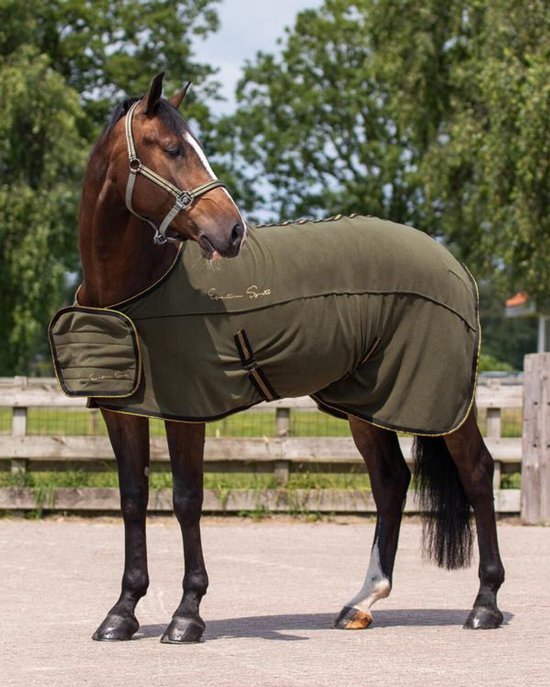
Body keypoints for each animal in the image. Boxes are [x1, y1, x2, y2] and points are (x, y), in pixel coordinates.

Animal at [65, 73, 504, 643]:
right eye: (173, 148)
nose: (232, 231)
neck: (141, 286)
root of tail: (455, 265)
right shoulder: (123, 410)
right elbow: (133, 498)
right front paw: (122, 611)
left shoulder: (187, 410)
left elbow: (186, 499)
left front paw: (187, 614)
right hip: (368, 403)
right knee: (390, 482)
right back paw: (361, 602)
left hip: (440, 399)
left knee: (477, 472)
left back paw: (485, 604)